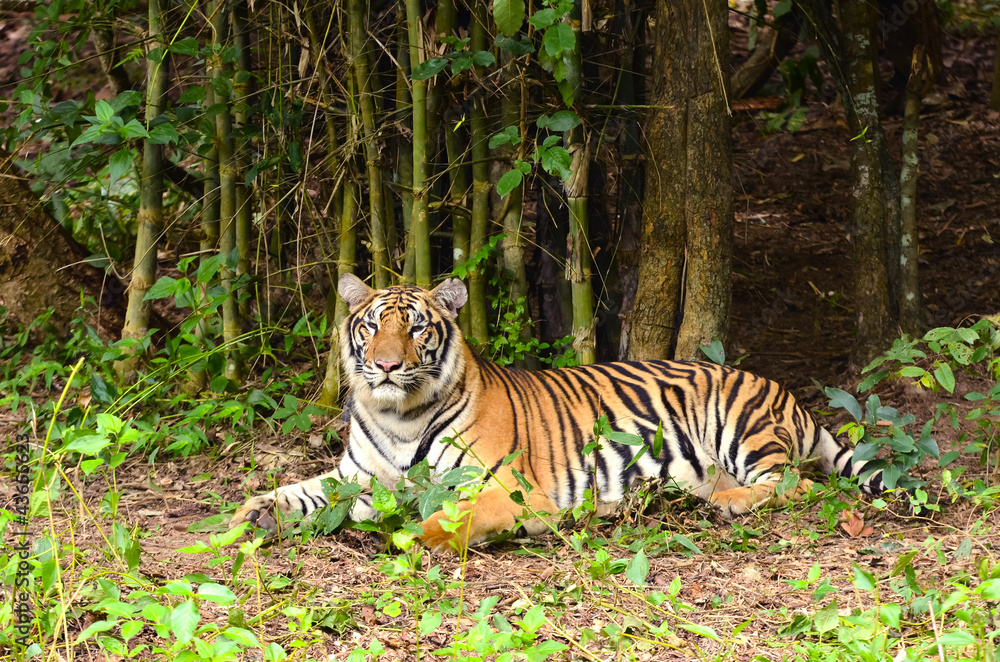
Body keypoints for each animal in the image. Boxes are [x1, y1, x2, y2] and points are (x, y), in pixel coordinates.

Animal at [229, 274, 885, 552]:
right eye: (371, 327)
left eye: (415, 328)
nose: (387, 366)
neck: (399, 416)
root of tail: (787, 394)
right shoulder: (357, 477)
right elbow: (300, 491)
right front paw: (251, 512)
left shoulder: (507, 489)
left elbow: (453, 517)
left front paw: (415, 535)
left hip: (741, 425)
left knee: (796, 484)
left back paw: (729, 503)